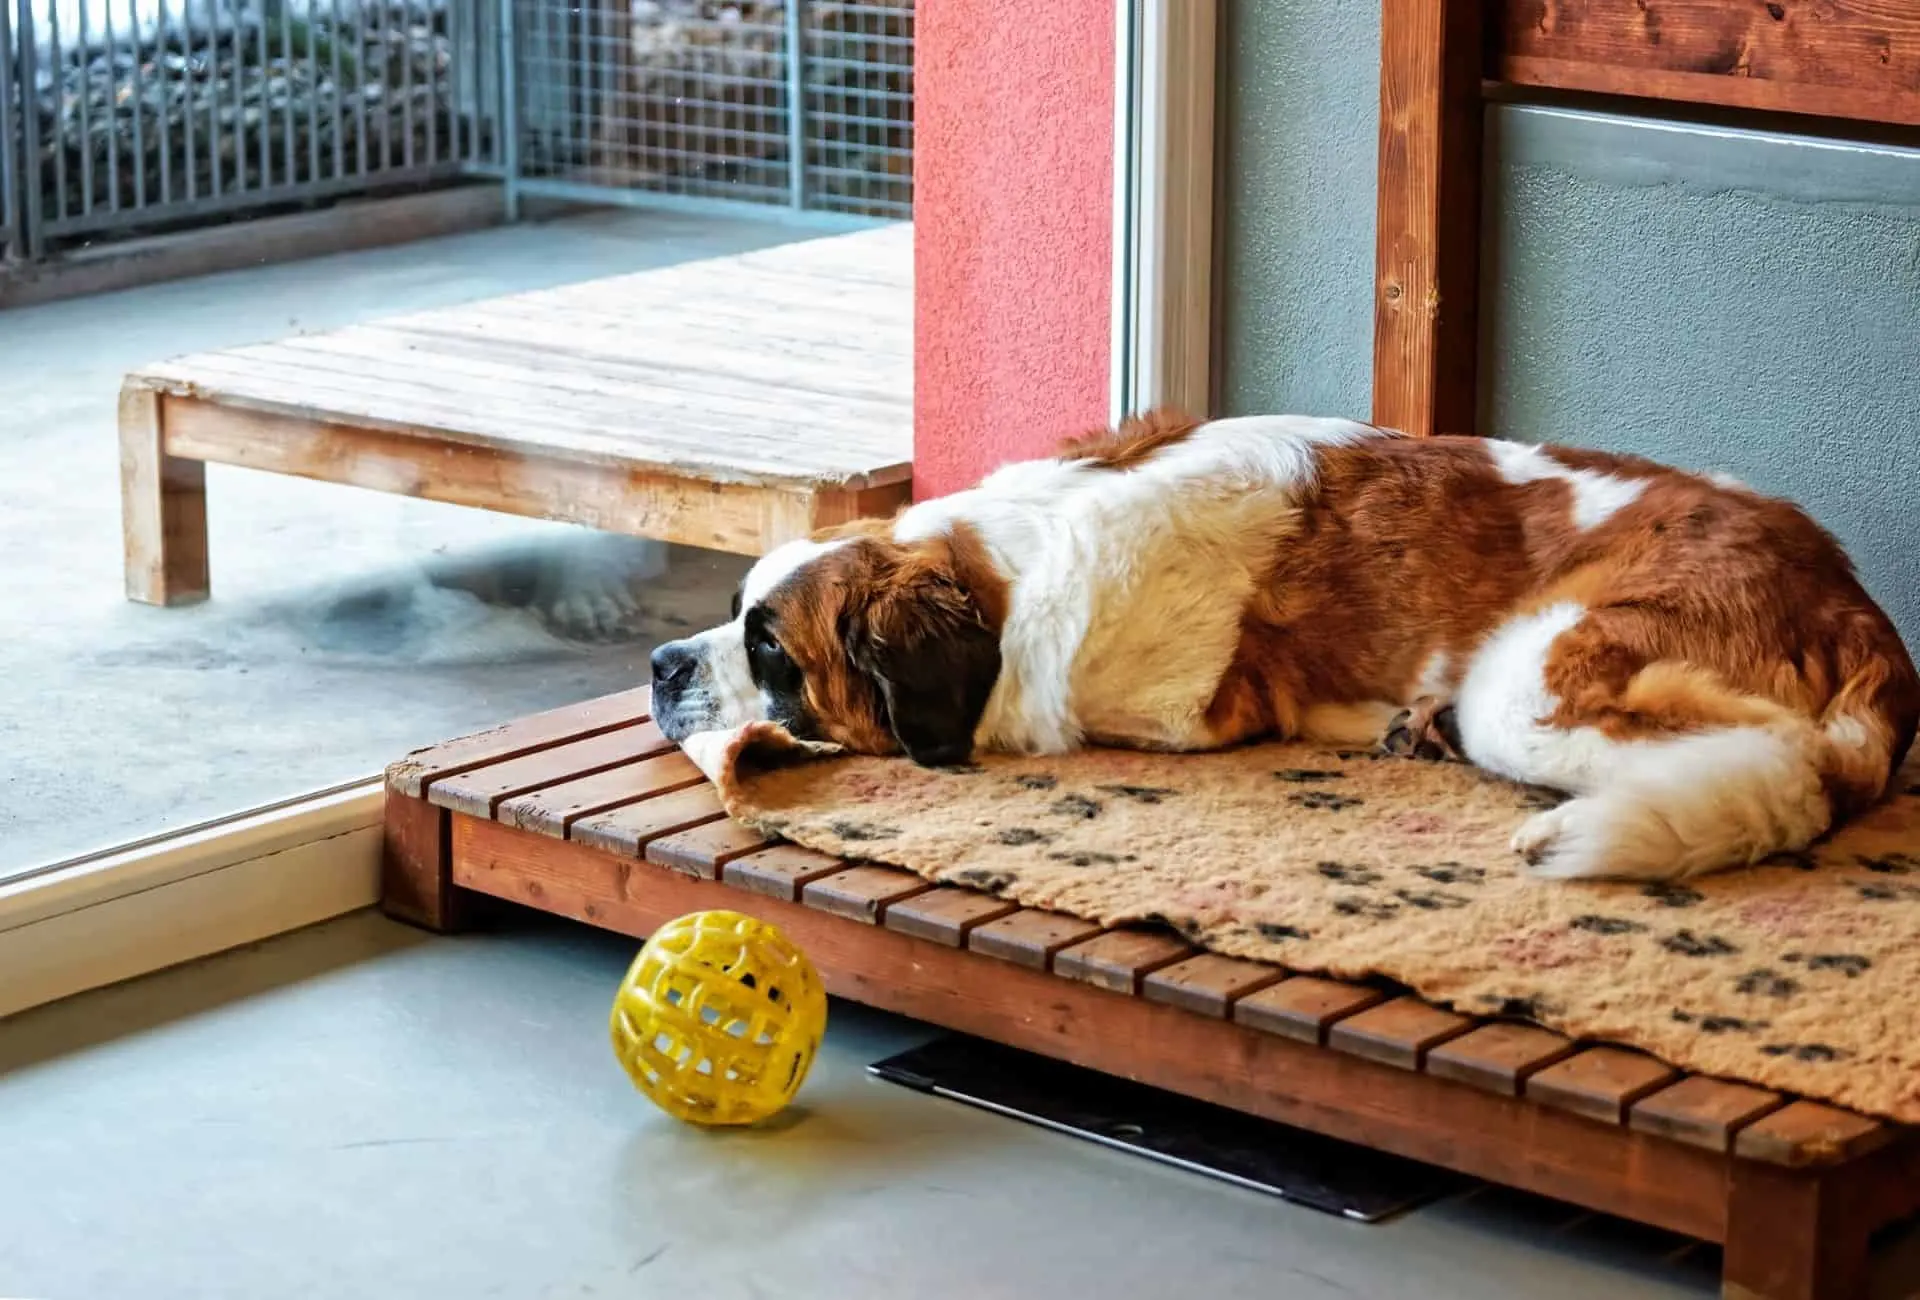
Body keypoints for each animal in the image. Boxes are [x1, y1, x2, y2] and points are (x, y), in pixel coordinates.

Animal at [648, 416, 1920, 883]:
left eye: (770, 649)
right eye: (730, 608)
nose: (662, 665)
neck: (1001, 580)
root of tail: (1857, 604)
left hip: (1530, 671)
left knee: (1786, 771)